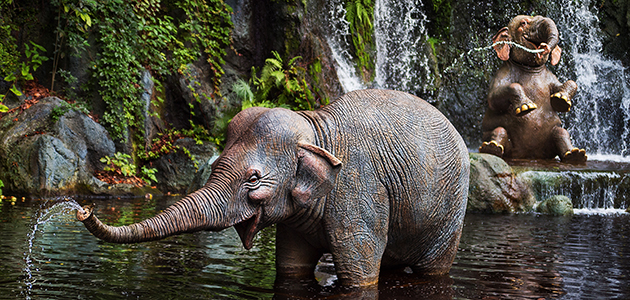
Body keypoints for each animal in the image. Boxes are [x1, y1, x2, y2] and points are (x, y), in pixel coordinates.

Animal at [76, 89, 472, 288]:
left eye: (252, 179)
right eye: (215, 167)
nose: (82, 209)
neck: (315, 126)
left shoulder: (359, 189)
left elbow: (359, 278)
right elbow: (291, 268)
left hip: (451, 210)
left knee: (433, 268)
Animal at [482, 14, 592, 163]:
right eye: (523, 23)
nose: (544, 47)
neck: (530, 68)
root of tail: (529, 155)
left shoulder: (550, 77)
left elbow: (569, 83)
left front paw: (561, 100)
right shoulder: (502, 73)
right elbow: (493, 99)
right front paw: (526, 108)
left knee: (561, 132)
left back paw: (575, 155)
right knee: (499, 130)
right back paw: (491, 148)